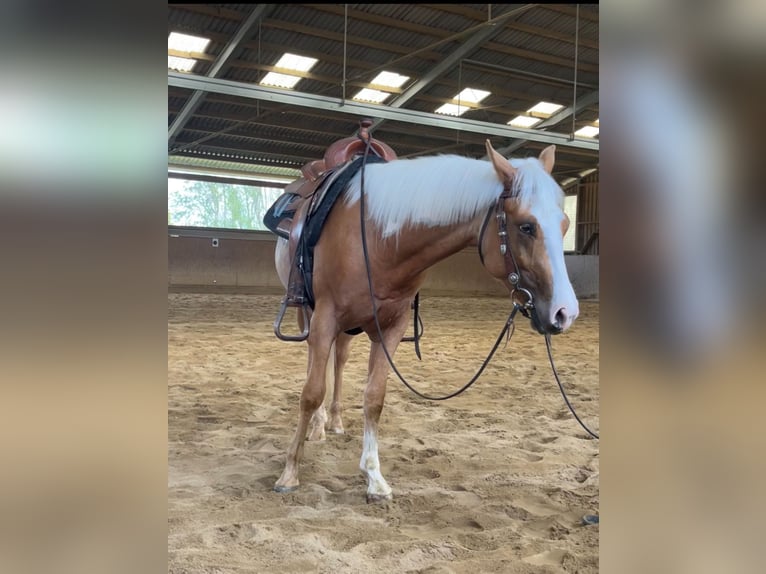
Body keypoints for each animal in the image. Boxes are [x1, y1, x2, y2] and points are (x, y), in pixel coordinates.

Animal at [272, 141, 580, 504]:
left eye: (564, 224)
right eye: (527, 226)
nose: (565, 312)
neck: (375, 238)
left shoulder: (391, 327)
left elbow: (374, 397)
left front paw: (374, 477)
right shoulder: (325, 317)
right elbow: (311, 392)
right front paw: (290, 472)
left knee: (341, 358)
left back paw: (334, 421)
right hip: (309, 313)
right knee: (315, 365)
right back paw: (318, 426)